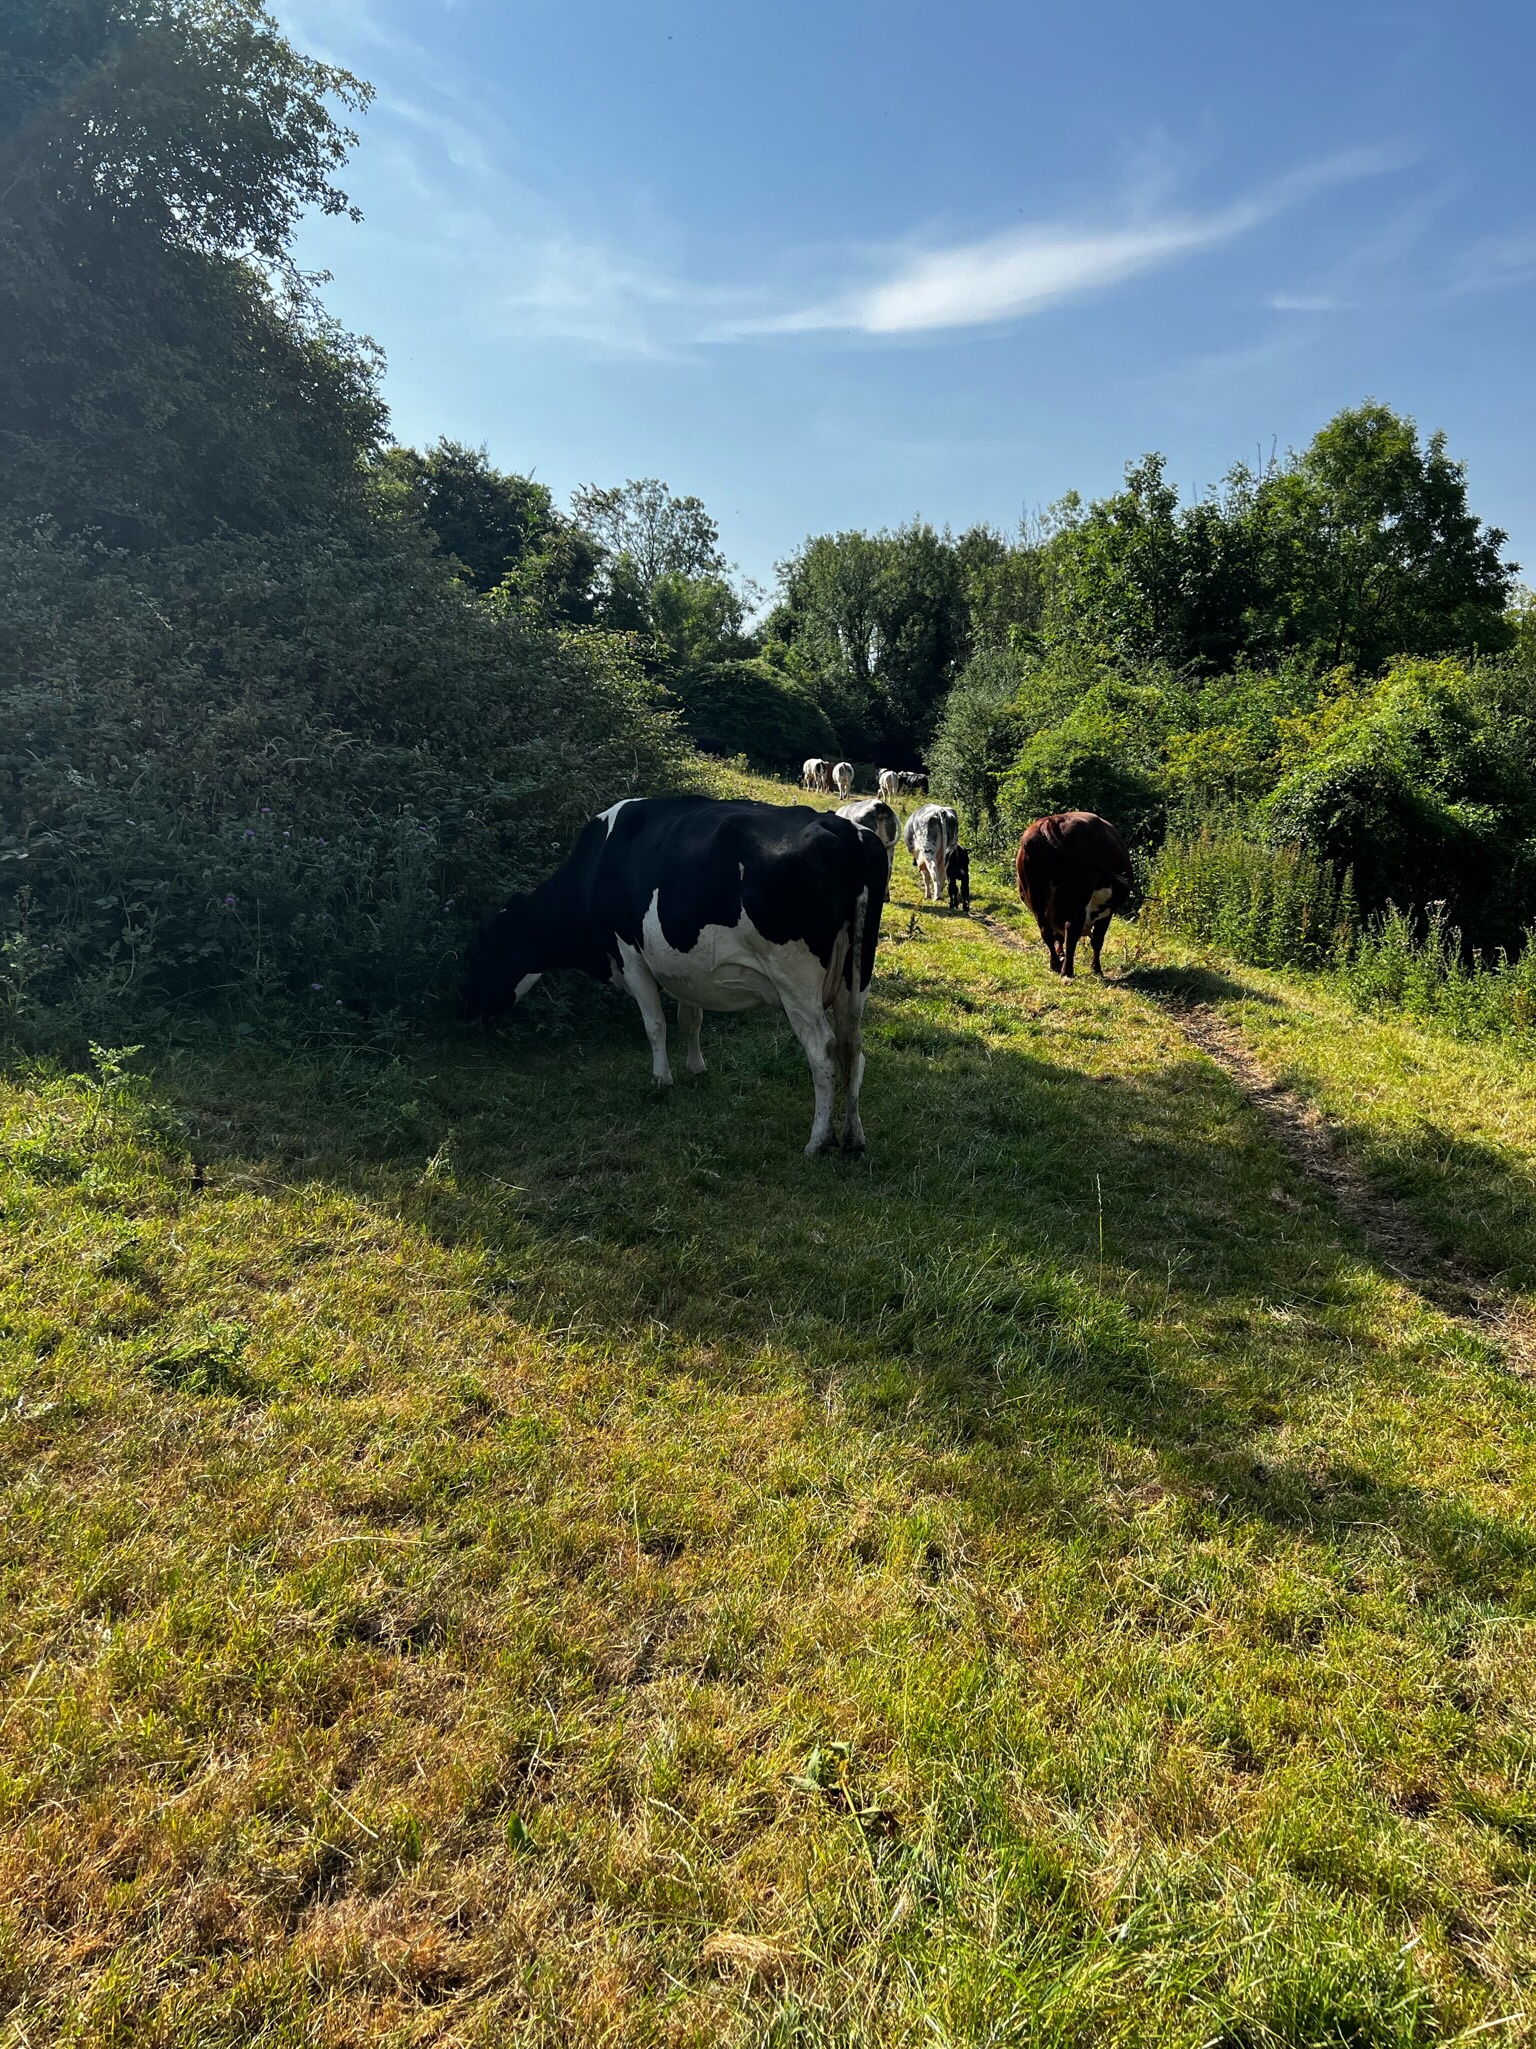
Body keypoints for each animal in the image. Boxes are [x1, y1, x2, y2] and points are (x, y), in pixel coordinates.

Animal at [464, 797, 888, 1155]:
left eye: (478, 954)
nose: (470, 1013)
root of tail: (845, 830)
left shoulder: (630, 955)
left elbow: (654, 1025)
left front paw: (661, 1080)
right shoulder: (684, 967)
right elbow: (690, 1018)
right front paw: (696, 1069)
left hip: (795, 981)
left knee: (823, 1050)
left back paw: (817, 1141)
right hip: (856, 978)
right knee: (853, 1046)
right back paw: (854, 1137)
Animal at [1015, 810, 1132, 977]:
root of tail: (1052, 821)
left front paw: (1060, 954)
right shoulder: (1107, 912)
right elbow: (1098, 940)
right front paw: (1096, 969)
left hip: (1035, 896)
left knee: (1046, 931)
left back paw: (1055, 964)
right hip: (1079, 898)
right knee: (1072, 929)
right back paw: (1068, 971)